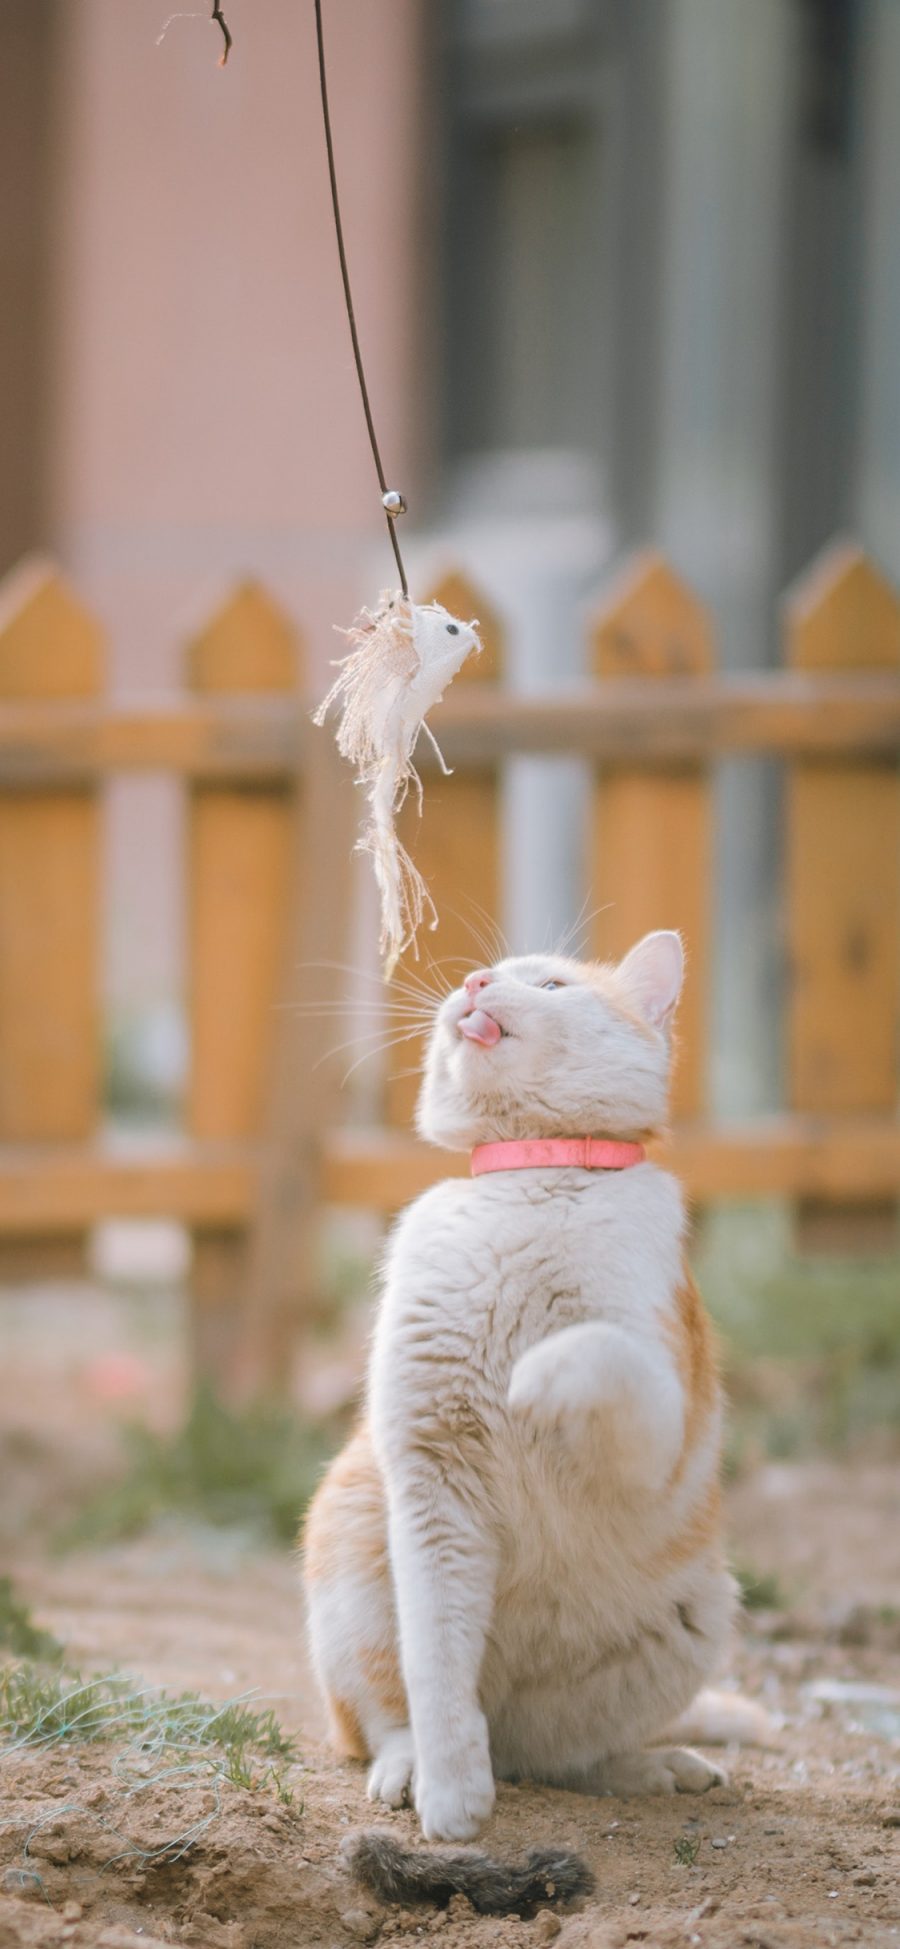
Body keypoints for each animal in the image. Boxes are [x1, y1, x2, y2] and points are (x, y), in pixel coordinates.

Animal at [301, 935, 751, 1894]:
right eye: (489, 972)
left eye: (550, 982)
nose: (473, 983)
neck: (533, 1175)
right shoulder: (431, 1483)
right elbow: (437, 1663)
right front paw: (451, 1800)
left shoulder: (663, 1418)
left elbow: (592, 1347)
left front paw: (535, 1374)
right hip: (353, 1550)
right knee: (389, 1720)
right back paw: (413, 1769)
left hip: (700, 1615)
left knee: (568, 1759)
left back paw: (659, 1767)